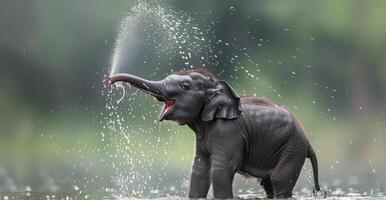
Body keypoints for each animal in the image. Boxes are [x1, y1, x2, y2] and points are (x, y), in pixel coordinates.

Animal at [107, 69, 324, 198]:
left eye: (184, 87)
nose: (110, 80)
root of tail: (308, 142)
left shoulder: (228, 132)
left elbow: (221, 169)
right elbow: (200, 170)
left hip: (292, 149)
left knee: (279, 180)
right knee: (268, 183)